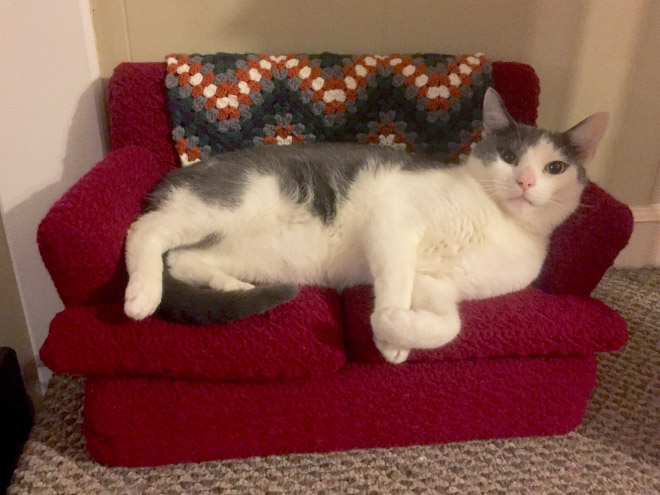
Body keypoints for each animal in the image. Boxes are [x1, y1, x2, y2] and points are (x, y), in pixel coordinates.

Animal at [124, 87, 608, 362]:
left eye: (555, 167)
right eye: (508, 157)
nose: (525, 182)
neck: (497, 222)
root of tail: (174, 176)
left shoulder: (441, 285)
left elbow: (448, 325)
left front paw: (397, 334)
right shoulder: (393, 219)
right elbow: (396, 277)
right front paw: (386, 323)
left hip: (256, 254)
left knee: (182, 259)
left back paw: (232, 287)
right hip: (230, 201)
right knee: (146, 231)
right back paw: (142, 296)